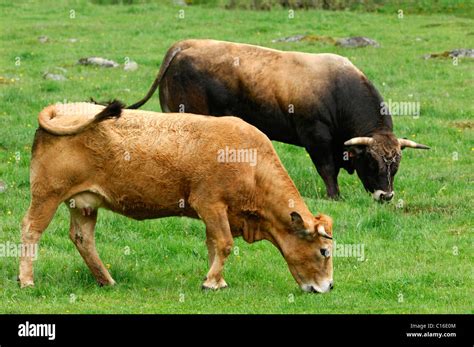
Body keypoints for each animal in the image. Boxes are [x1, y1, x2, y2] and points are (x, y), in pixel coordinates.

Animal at [19, 101, 334, 294]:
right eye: (324, 251)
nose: (329, 286)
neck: (251, 164)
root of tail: (63, 109)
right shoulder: (210, 204)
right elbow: (224, 244)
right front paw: (212, 283)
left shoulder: (215, 214)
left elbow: (213, 244)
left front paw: (216, 280)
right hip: (47, 195)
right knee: (31, 230)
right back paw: (26, 280)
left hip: (84, 203)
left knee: (82, 238)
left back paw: (105, 279)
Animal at [127, 38, 430, 201]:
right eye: (371, 161)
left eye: (396, 165)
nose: (386, 196)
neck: (338, 91)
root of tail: (187, 45)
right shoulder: (316, 138)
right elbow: (327, 170)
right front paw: (335, 196)